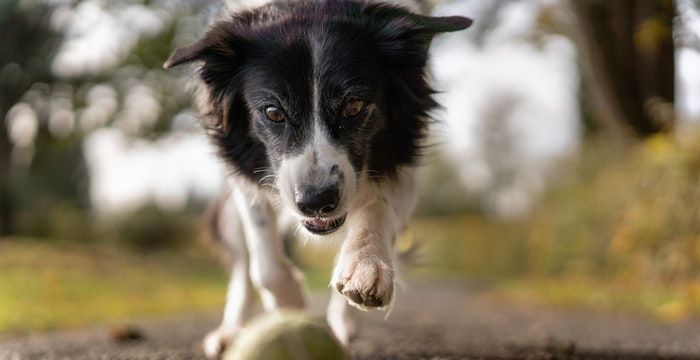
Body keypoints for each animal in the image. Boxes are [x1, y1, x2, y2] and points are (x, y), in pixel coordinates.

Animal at [164, 0, 470, 354]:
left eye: (353, 106)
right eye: (273, 112)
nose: (316, 202)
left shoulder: (403, 160)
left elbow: (377, 208)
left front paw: (365, 267)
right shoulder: (245, 174)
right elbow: (263, 256)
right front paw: (289, 301)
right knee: (241, 265)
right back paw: (230, 331)